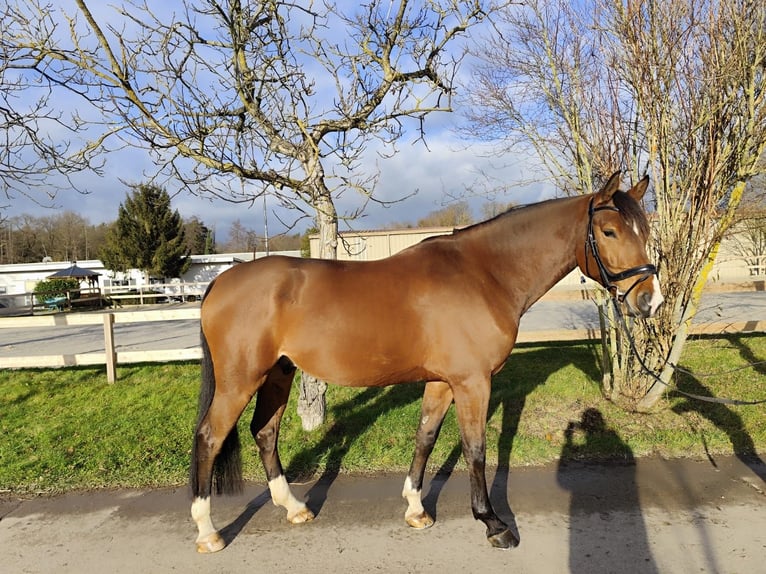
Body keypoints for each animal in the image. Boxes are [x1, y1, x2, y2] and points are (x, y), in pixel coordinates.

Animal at [190, 171, 664, 552]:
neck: (484, 274)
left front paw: (417, 508)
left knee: (264, 432)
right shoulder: (473, 382)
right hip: (240, 380)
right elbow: (476, 449)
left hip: (278, 374)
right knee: (210, 438)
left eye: (644, 230)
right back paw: (208, 531)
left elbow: (426, 436)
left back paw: (293, 507)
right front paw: (493, 523)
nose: (650, 301)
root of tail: (221, 281)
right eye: (609, 231)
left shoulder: (441, 381)